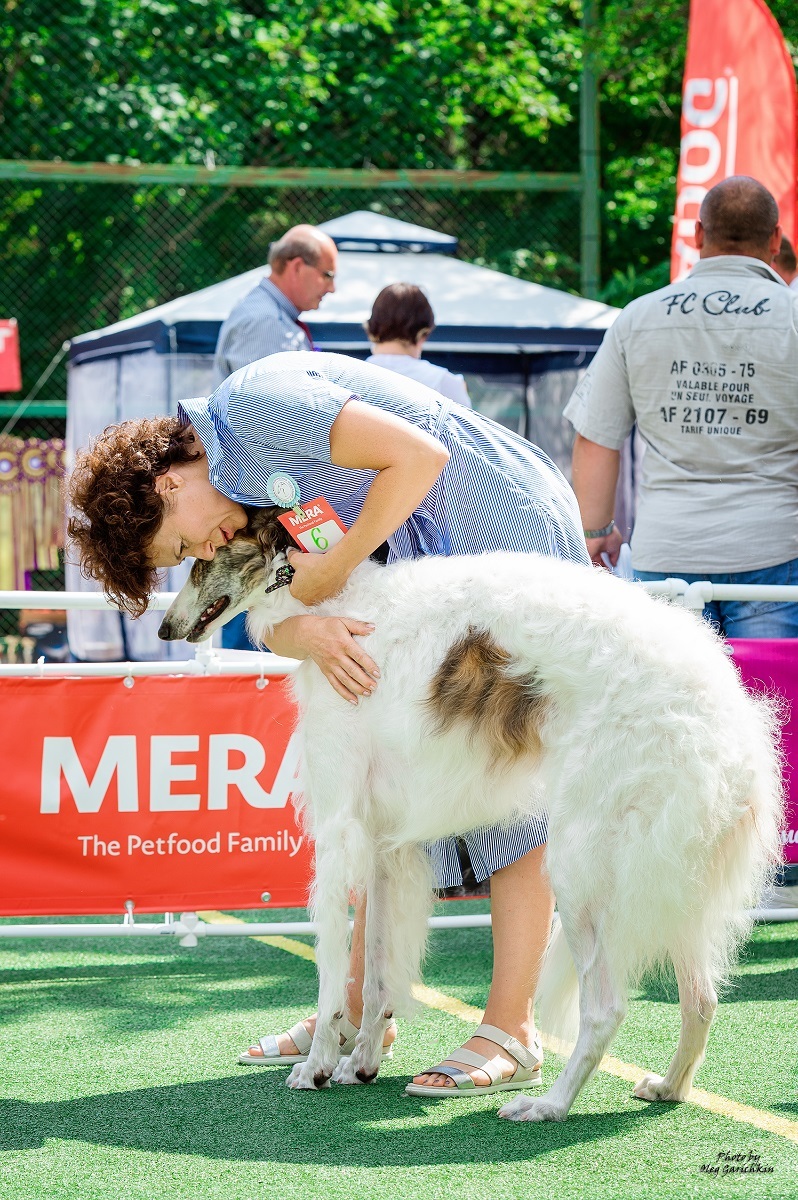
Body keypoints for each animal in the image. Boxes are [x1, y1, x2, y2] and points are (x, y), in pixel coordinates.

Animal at [158, 511, 782, 1118]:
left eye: (203, 557)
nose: (164, 629)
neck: (331, 609)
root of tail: (731, 719)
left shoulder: (340, 832)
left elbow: (334, 974)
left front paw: (315, 1066)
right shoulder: (384, 845)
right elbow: (377, 975)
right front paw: (360, 1063)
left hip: (585, 866)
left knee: (606, 1008)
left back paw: (549, 1104)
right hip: (670, 874)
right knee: (701, 997)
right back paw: (669, 1087)